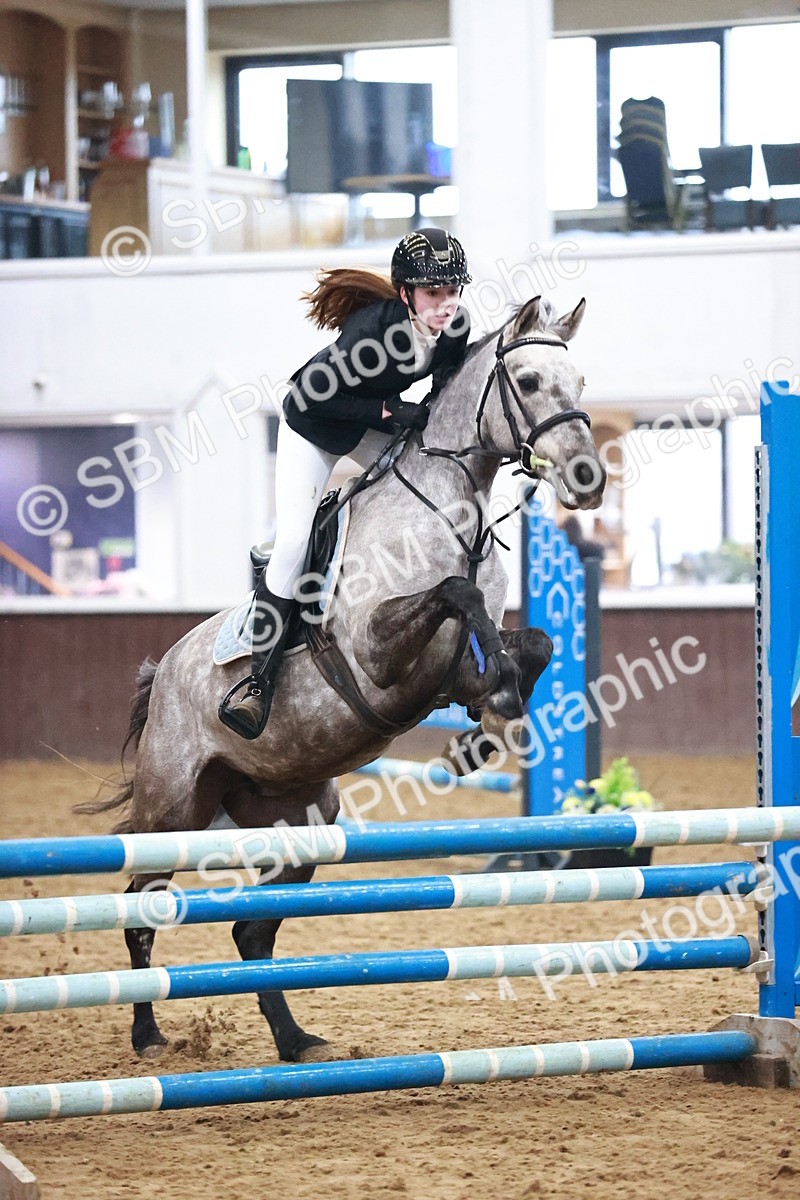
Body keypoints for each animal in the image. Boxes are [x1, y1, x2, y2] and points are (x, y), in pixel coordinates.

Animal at [82, 295, 606, 1064]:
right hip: (171, 809)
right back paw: (149, 1035)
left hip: (301, 817)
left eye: (582, 382)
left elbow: (527, 642)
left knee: (251, 931)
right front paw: (498, 706)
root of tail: (165, 669)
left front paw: (490, 723)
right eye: (532, 380)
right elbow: (457, 592)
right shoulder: (376, 654)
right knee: (140, 907)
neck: (450, 505)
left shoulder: (447, 670)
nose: (588, 479)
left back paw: (294, 1041)